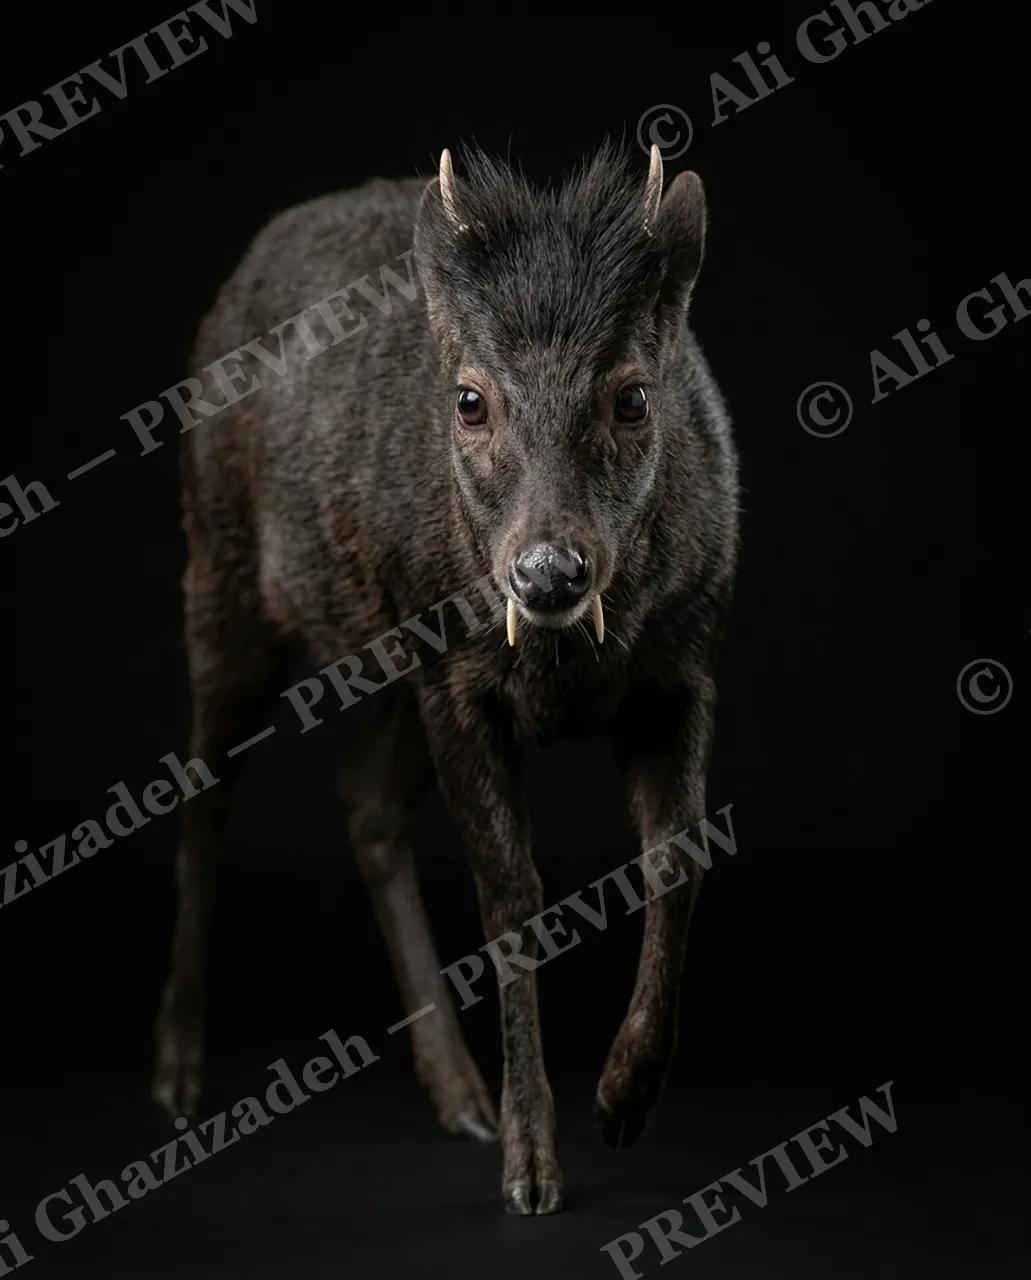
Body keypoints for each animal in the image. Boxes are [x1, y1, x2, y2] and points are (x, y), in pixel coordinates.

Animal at [152, 141, 740, 1215]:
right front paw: (533, 1164)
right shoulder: (460, 686)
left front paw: (622, 1097)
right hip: (223, 574)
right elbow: (511, 899)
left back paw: (457, 1090)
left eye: (633, 395)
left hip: (400, 656)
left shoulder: (686, 663)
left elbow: (679, 857)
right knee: (206, 797)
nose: (546, 572)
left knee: (365, 803)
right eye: (469, 399)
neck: (571, 660)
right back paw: (176, 1072)